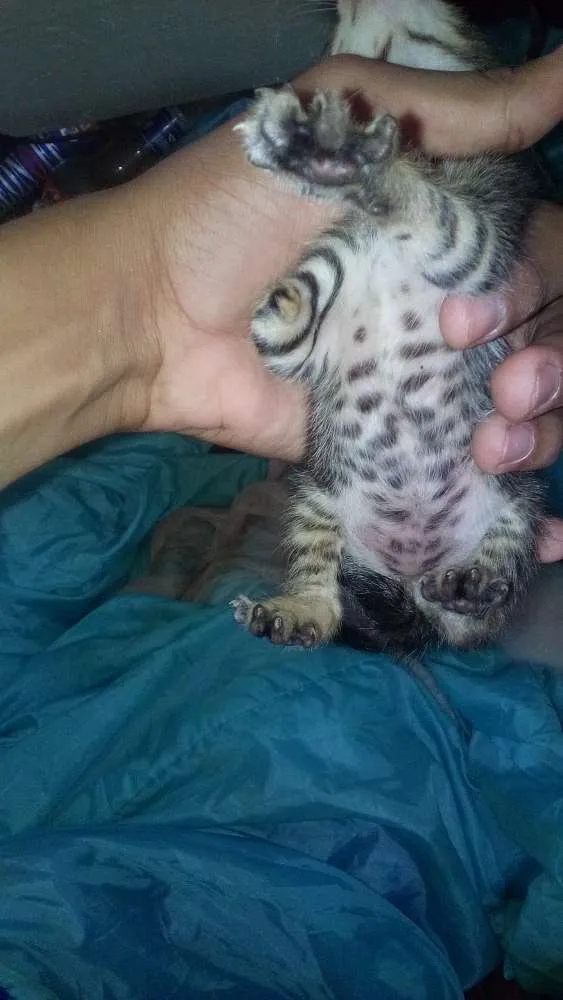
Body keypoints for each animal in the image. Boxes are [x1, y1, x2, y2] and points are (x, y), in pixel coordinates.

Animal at [232, 0, 544, 656]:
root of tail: (411, 575)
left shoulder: (481, 246)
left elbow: (432, 209)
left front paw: (342, 159)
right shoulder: (311, 325)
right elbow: (283, 332)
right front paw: (283, 296)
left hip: (520, 497)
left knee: (478, 609)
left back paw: (471, 586)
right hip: (315, 494)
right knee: (324, 592)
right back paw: (296, 610)